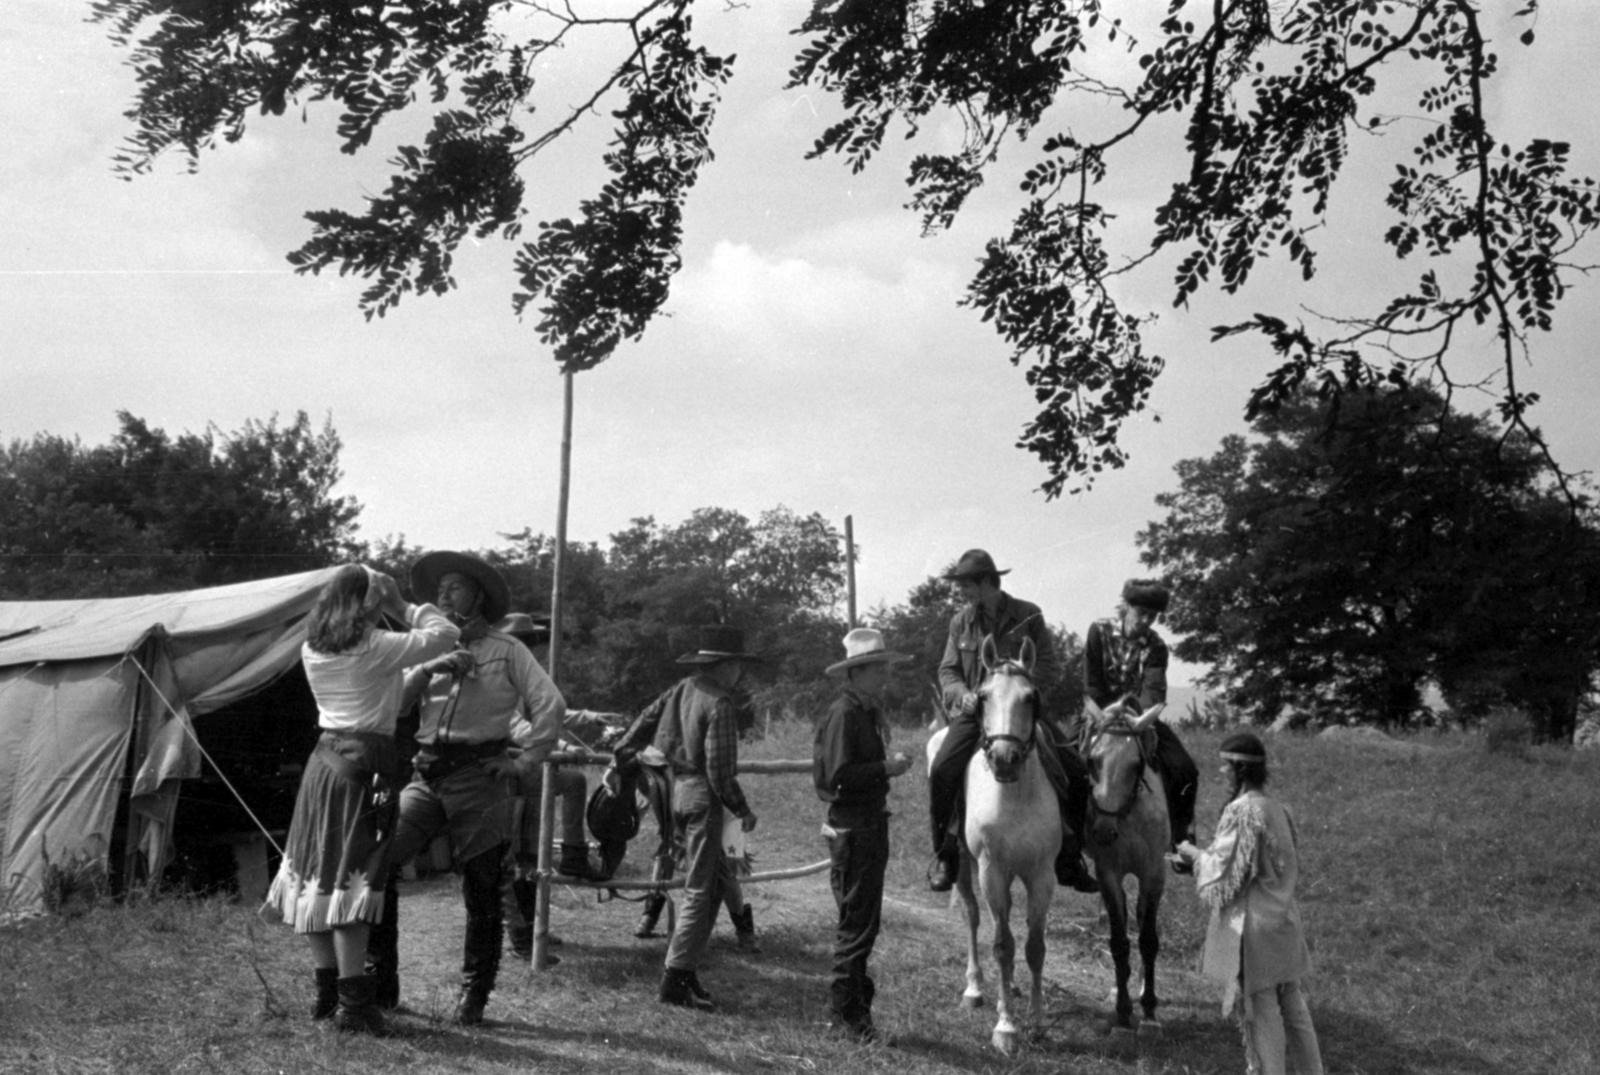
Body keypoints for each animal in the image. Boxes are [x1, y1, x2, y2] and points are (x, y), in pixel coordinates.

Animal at [1081, 697, 1171, 1030]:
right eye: (1093, 761)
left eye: (1136, 765)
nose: (1103, 831)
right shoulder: (1108, 874)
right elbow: (1119, 941)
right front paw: (1122, 1010)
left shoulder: (1154, 874)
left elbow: (1148, 938)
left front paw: (1149, 1007)